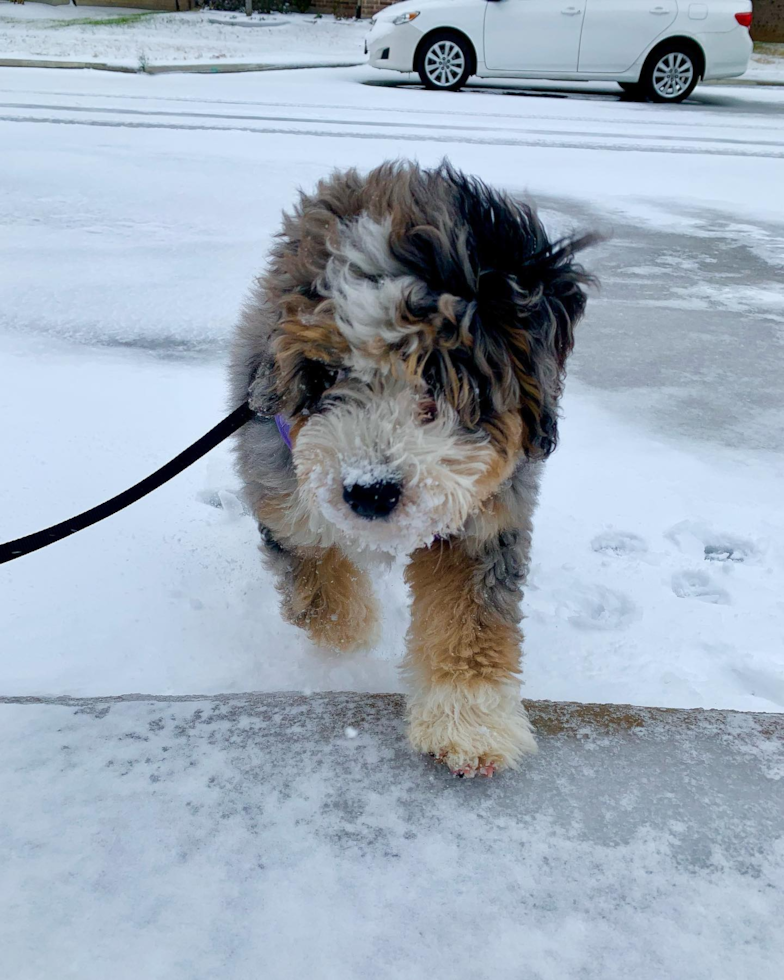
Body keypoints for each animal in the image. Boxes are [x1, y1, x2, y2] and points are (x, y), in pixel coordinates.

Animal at [230, 161, 596, 776]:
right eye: (326, 375)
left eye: (441, 376)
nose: (369, 492)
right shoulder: (282, 489)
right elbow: (320, 586)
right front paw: (353, 640)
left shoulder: (484, 516)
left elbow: (469, 618)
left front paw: (470, 725)